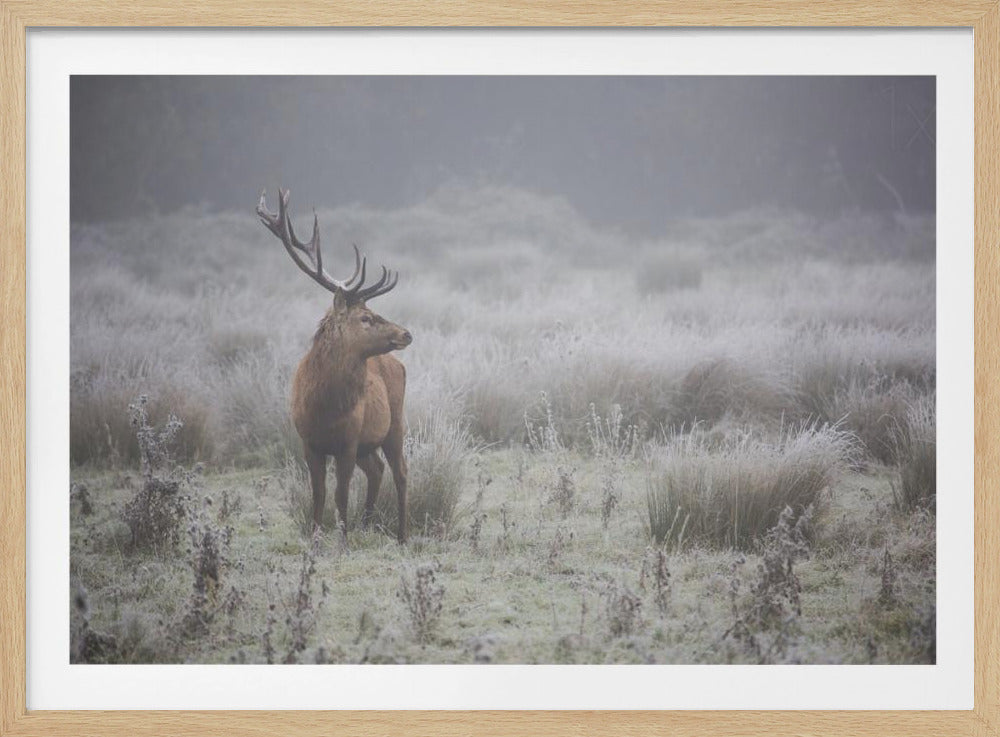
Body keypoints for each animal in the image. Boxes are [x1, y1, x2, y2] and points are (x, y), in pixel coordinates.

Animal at [257, 188, 412, 543]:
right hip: (370, 443)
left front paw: (343, 540)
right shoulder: (309, 442)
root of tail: (398, 365)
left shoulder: (348, 441)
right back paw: (367, 524)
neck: (324, 407)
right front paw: (317, 538)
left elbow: (340, 495)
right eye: (365, 317)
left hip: (395, 423)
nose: (406, 333)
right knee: (378, 470)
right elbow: (319, 494)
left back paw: (401, 535)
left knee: (400, 472)